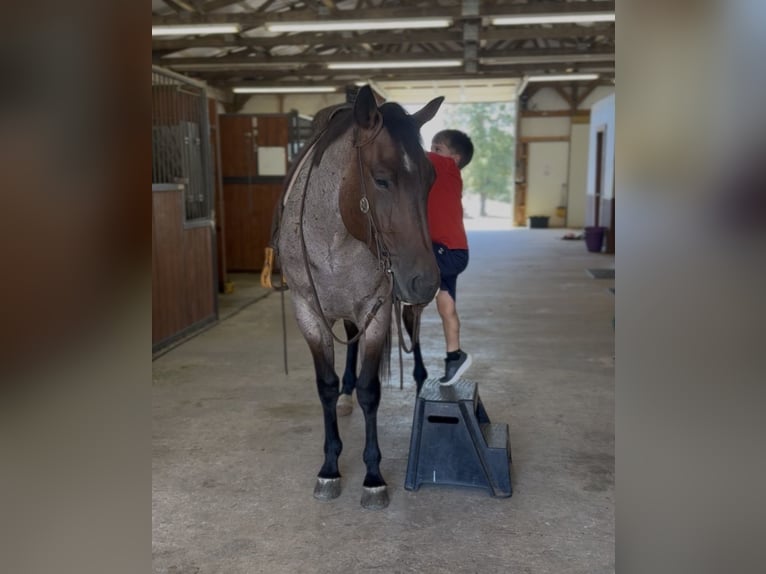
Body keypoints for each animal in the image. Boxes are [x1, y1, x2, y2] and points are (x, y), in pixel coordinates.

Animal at [275, 85, 444, 509]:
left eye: (431, 179)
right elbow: (325, 385)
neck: (334, 236)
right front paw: (329, 468)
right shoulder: (308, 312)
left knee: (411, 334)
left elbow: (371, 390)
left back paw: (420, 379)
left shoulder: (376, 311)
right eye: (381, 180)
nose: (425, 282)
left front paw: (373, 477)